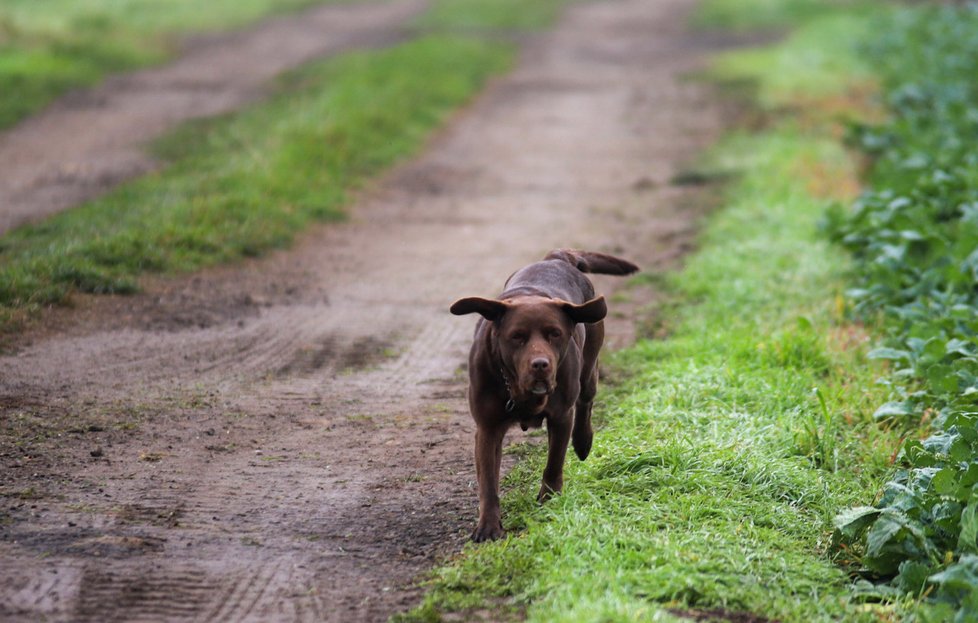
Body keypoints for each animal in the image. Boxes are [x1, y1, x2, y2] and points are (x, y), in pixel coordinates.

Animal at [452, 249, 636, 540]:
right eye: (517, 336)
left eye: (555, 334)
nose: (540, 364)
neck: (518, 388)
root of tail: (558, 257)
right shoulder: (487, 427)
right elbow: (489, 481)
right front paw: (489, 527)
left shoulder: (561, 417)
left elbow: (554, 462)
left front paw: (549, 501)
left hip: (589, 368)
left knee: (586, 401)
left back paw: (583, 442)